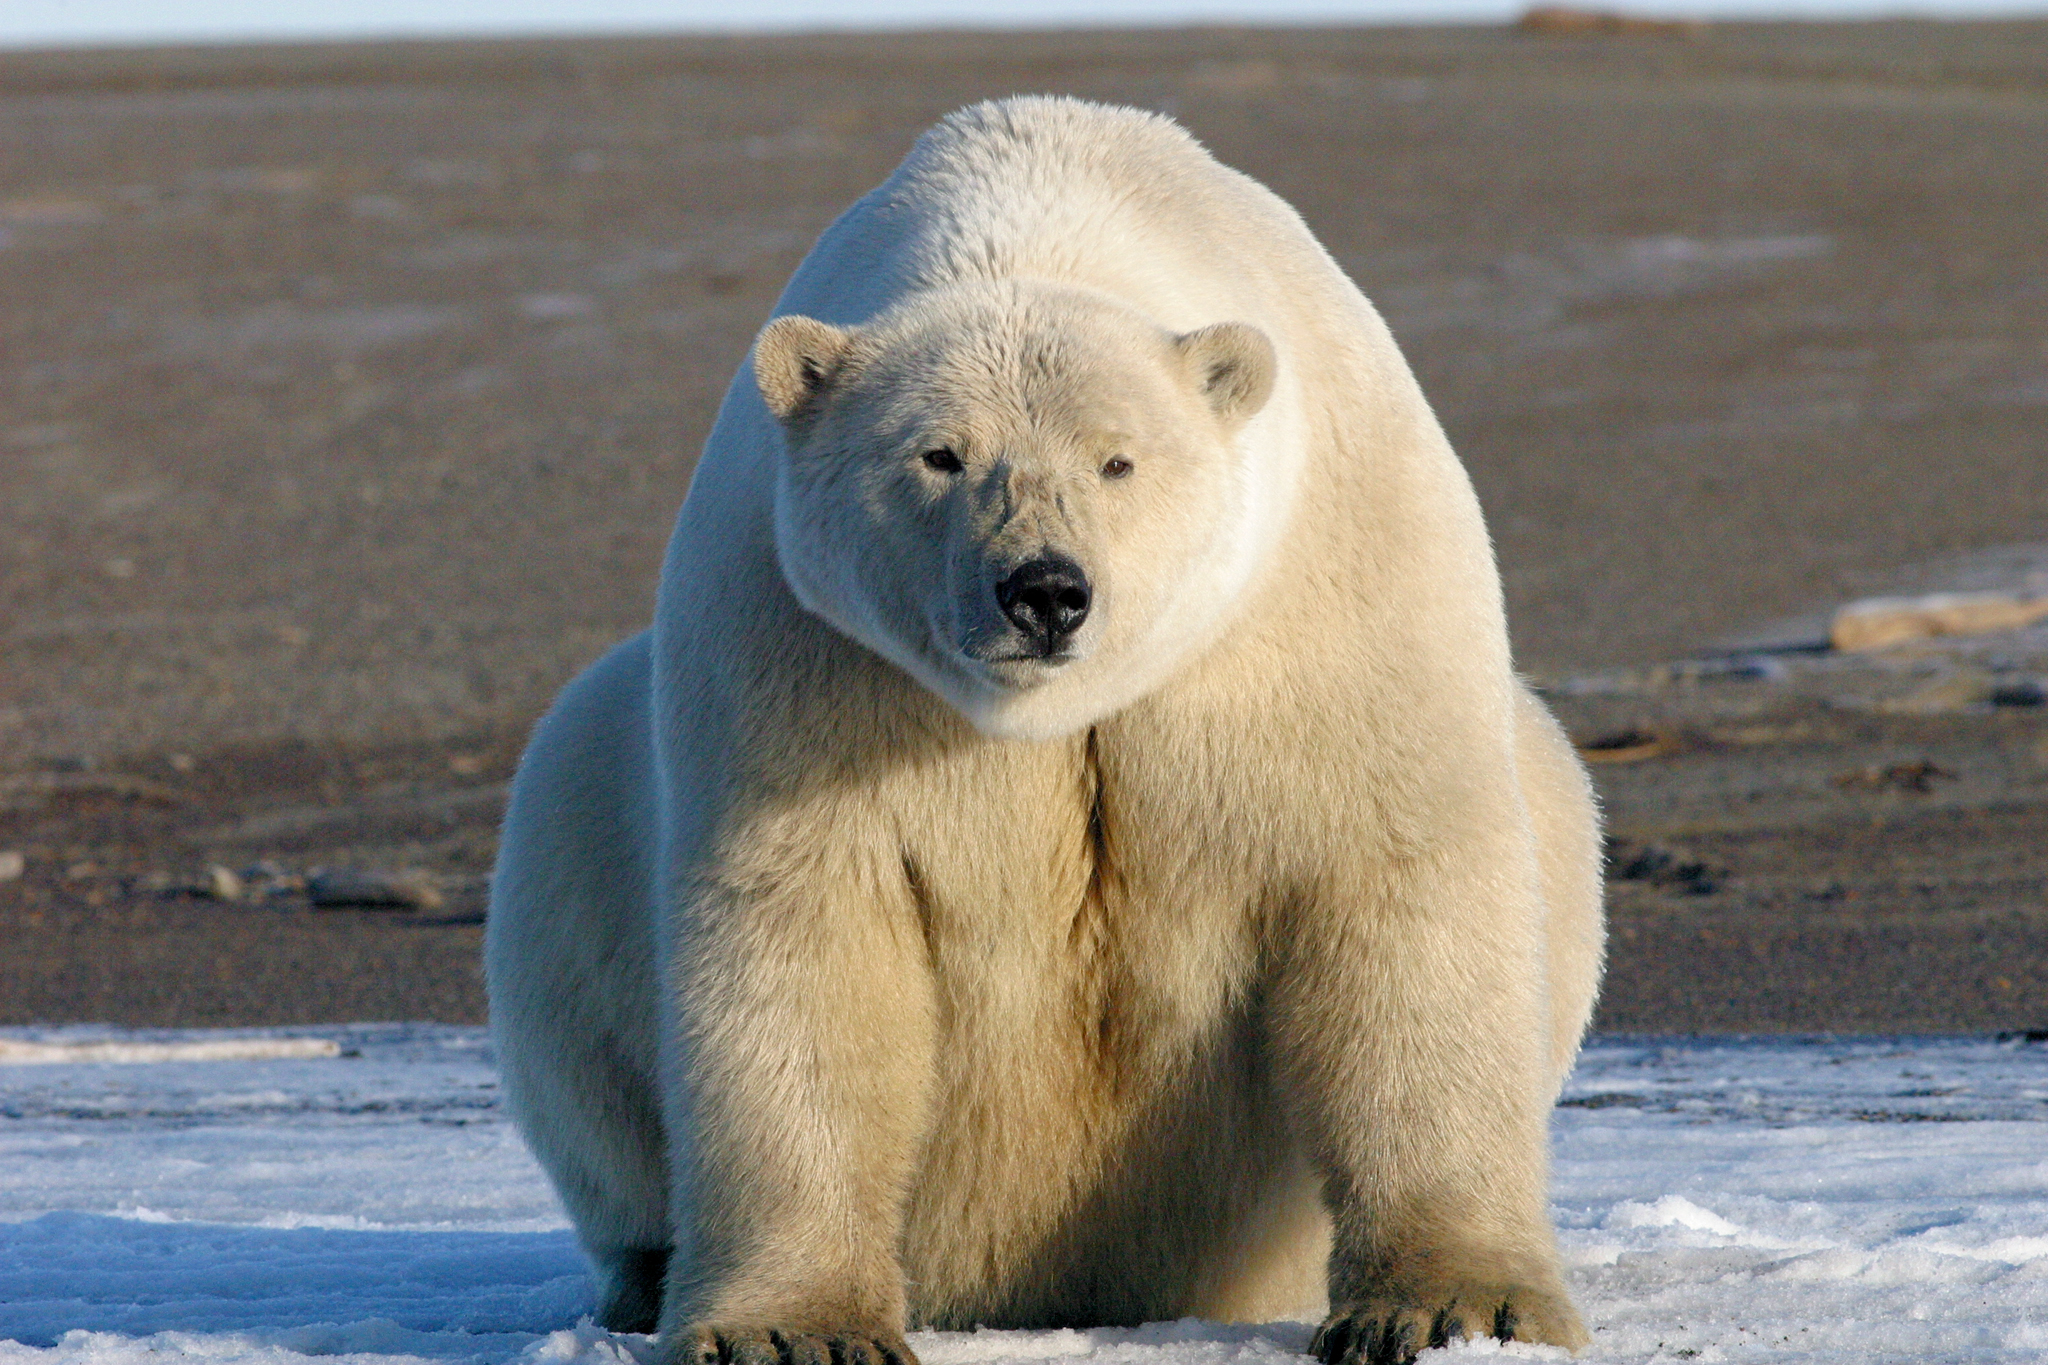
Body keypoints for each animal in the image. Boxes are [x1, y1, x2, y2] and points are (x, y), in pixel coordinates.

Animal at [487, 96, 1605, 1365]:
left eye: (1117, 459)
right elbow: (808, 943)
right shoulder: (807, 655)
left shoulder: (1328, 597)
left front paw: (1456, 1307)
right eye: (938, 453)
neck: (1048, 207)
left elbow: (1395, 885)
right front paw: (791, 1329)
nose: (1044, 589)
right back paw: (643, 1277)